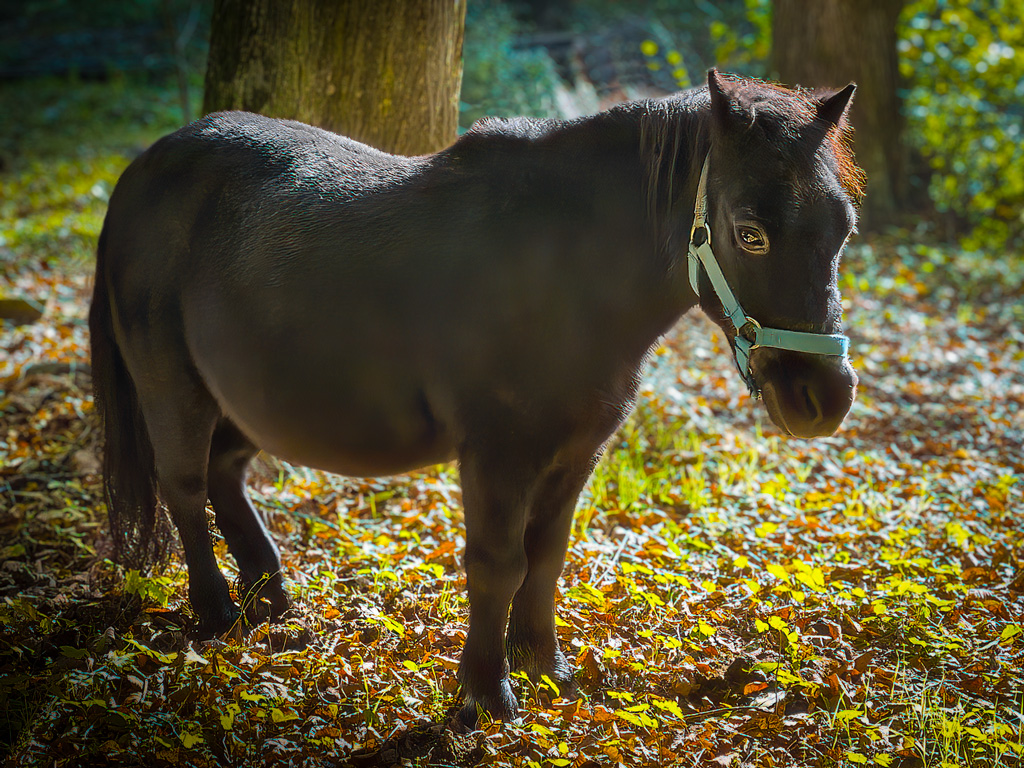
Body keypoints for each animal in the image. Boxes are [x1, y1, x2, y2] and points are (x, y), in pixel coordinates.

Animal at [88, 69, 860, 724]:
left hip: (251, 398)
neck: (564, 273)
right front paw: (488, 691)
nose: (825, 397)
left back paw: (269, 594)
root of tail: (144, 169)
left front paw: (546, 667)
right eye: (749, 233)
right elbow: (499, 563)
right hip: (173, 387)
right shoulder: (498, 454)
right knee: (184, 484)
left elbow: (547, 556)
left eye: (844, 227)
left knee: (224, 473)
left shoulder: (576, 452)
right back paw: (216, 610)